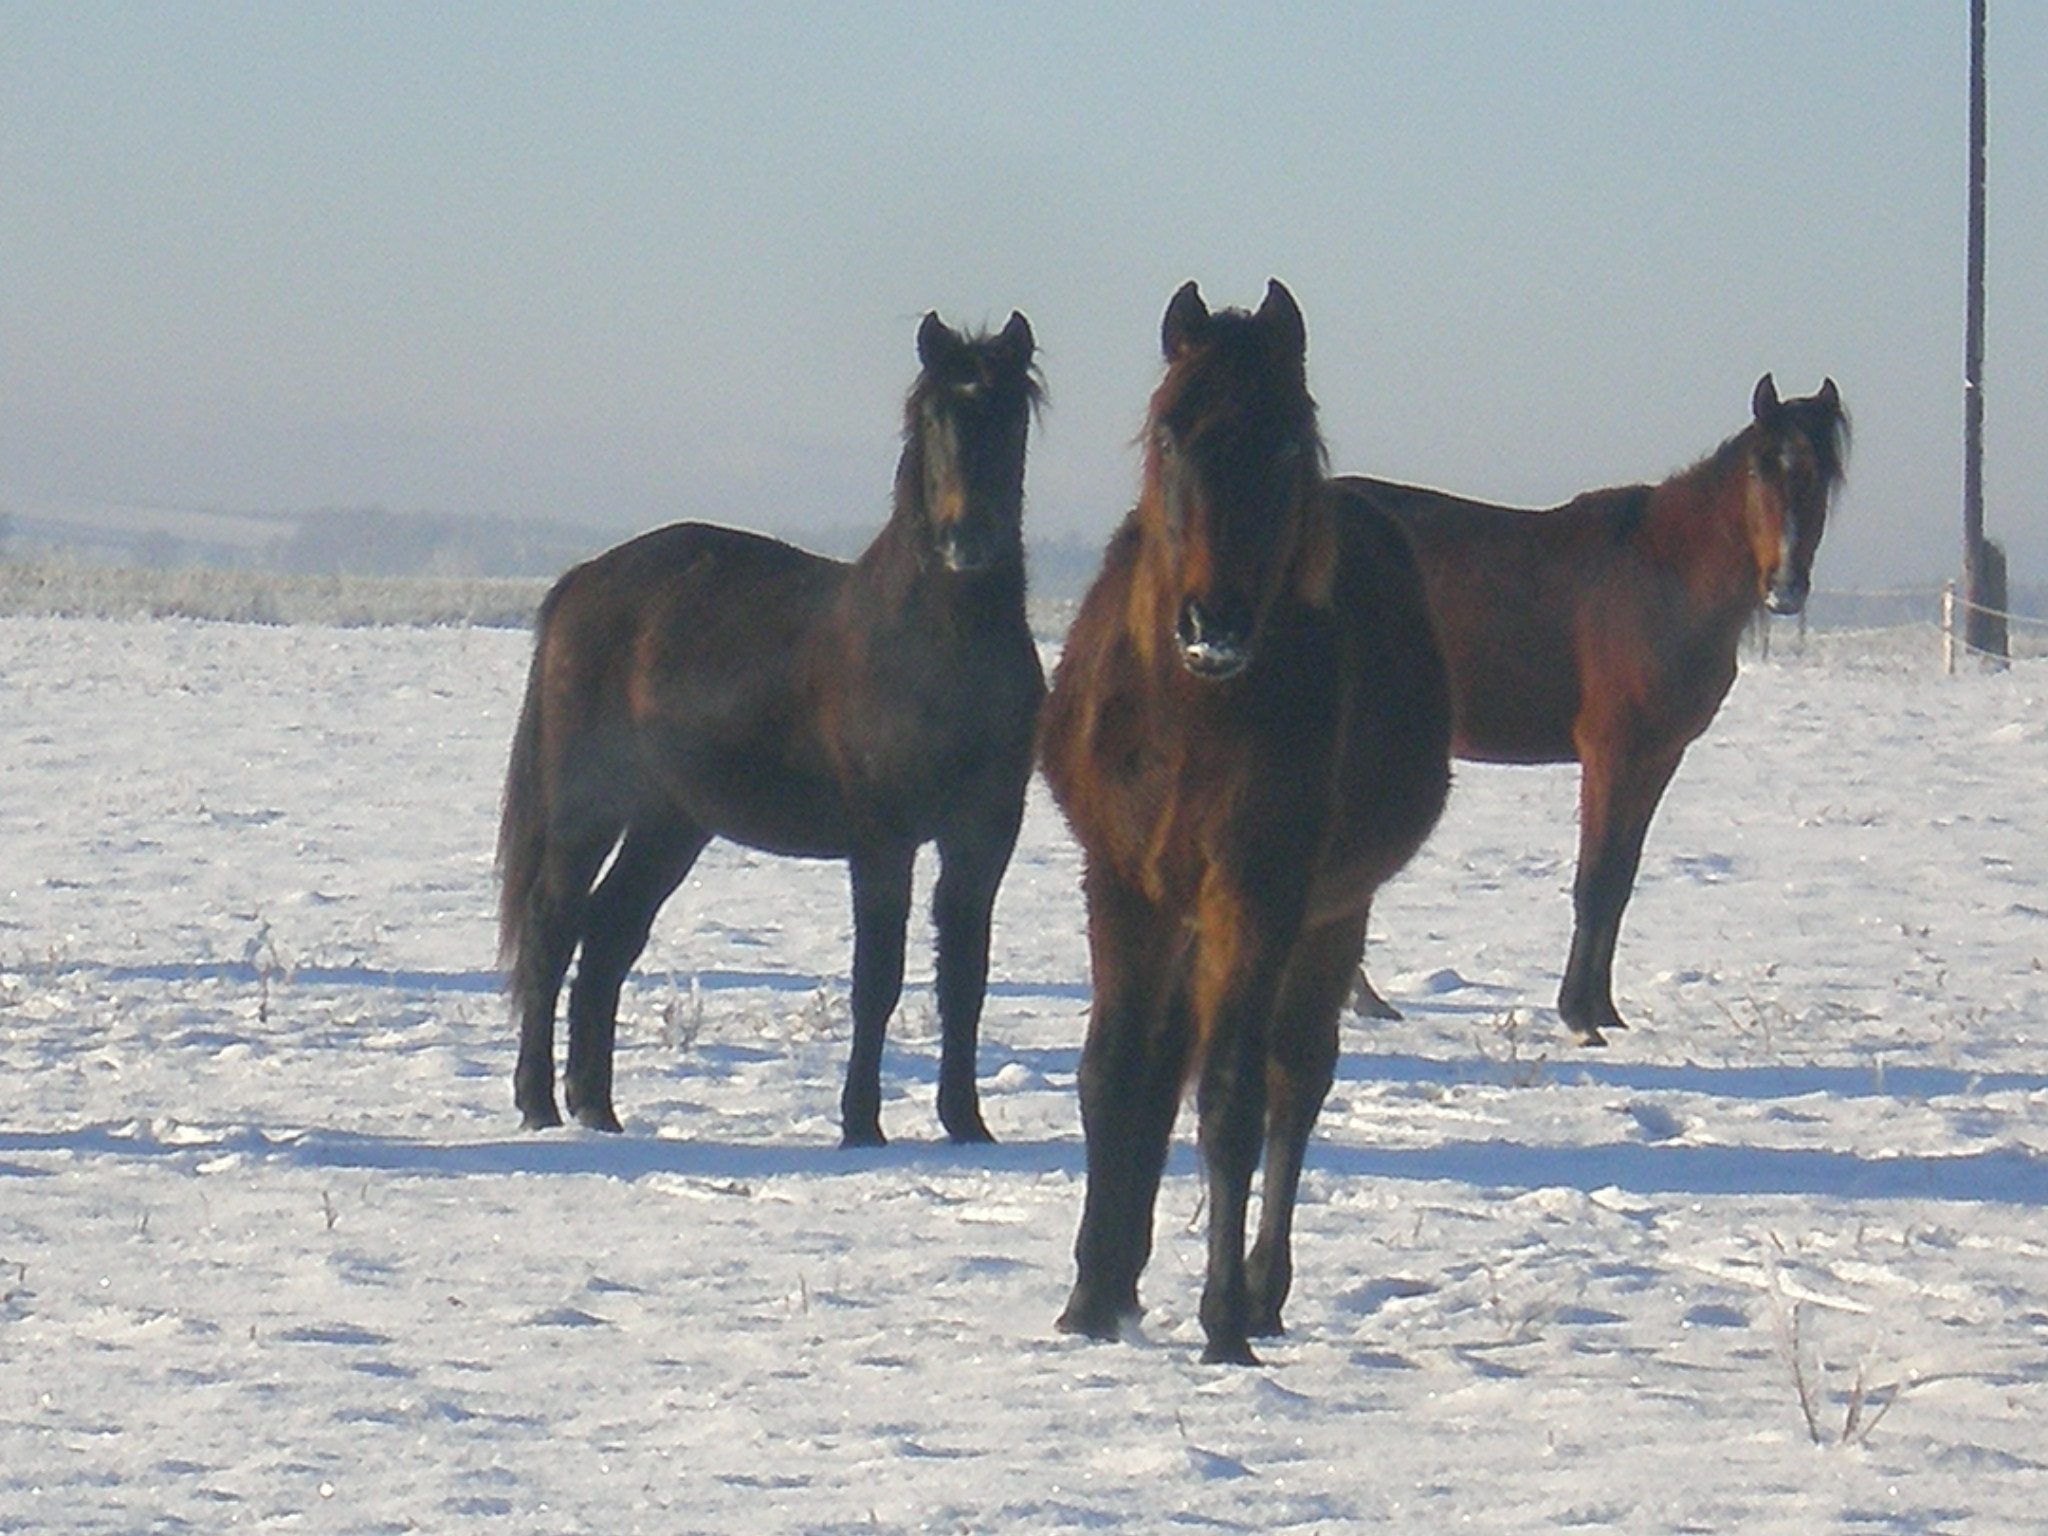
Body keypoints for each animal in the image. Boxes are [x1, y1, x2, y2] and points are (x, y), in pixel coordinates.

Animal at [495, 313, 1040, 1146]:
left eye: (1010, 416)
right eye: (933, 417)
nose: (966, 541)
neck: (939, 645)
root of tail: (581, 584)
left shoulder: (983, 835)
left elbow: (965, 980)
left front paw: (966, 1123)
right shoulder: (882, 839)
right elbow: (877, 979)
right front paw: (861, 1125)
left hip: (671, 821)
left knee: (610, 935)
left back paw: (598, 1109)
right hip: (587, 809)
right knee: (554, 928)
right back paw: (538, 1105)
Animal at [1040, 282, 1458, 1368]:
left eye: (1285, 440)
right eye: (1171, 431)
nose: (1213, 624)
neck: (1191, 710)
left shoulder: (1258, 894)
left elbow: (1232, 1097)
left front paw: (1223, 1322)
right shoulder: (1121, 884)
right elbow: (1113, 1076)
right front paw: (1088, 1300)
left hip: (1328, 917)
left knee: (1293, 1081)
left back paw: (1262, 1293)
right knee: (1163, 1072)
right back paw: (1125, 1278)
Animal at [1335, 376, 1851, 1048]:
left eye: (1822, 475)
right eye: (1760, 468)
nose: (1785, 588)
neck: (1665, 575)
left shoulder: (1658, 757)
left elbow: (1620, 882)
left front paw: (1602, 1009)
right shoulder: (1613, 752)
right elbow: (1595, 880)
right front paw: (1579, 1019)